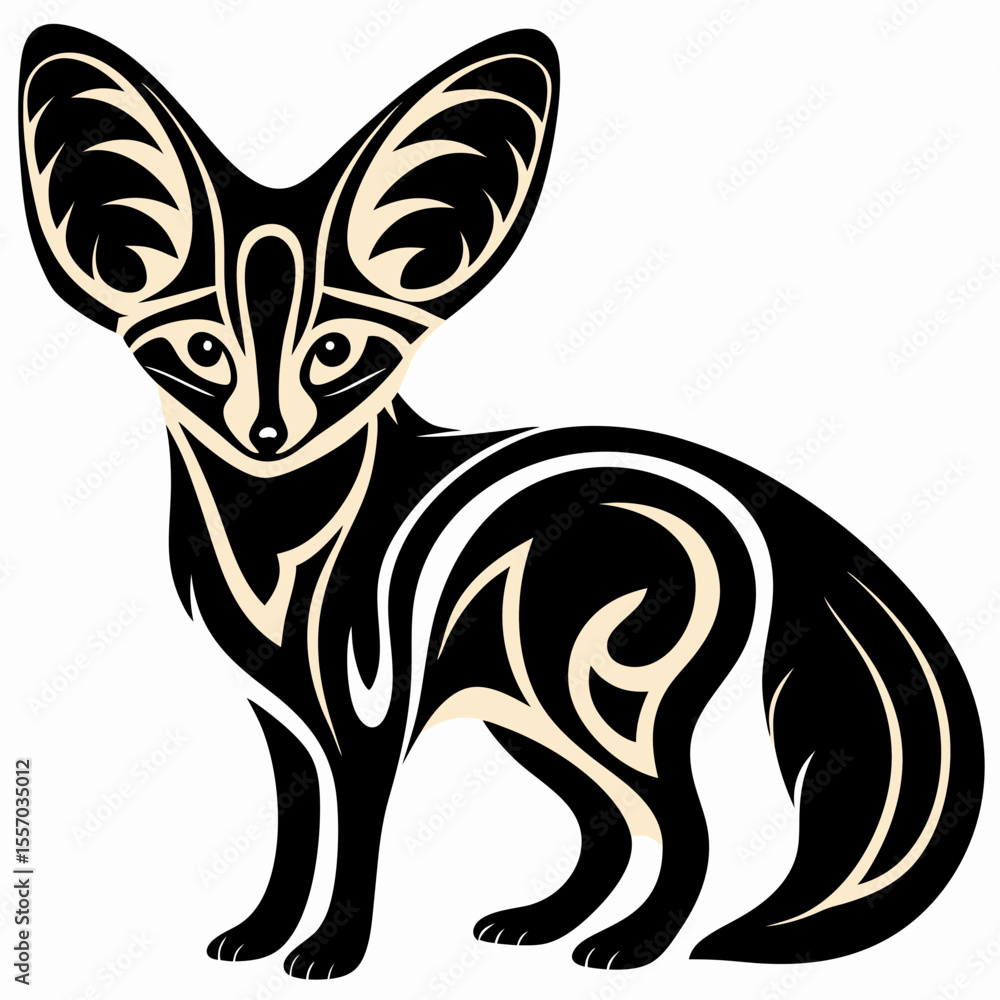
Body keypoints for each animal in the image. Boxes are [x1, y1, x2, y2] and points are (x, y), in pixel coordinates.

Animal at [19, 23, 984, 980]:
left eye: (334, 351)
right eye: (203, 350)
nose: (266, 433)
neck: (272, 548)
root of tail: (719, 474)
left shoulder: (370, 713)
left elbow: (355, 842)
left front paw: (333, 953)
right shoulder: (280, 718)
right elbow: (295, 840)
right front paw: (259, 936)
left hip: (599, 699)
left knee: (684, 825)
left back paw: (633, 947)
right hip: (528, 711)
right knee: (608, 825)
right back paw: (542, 925)